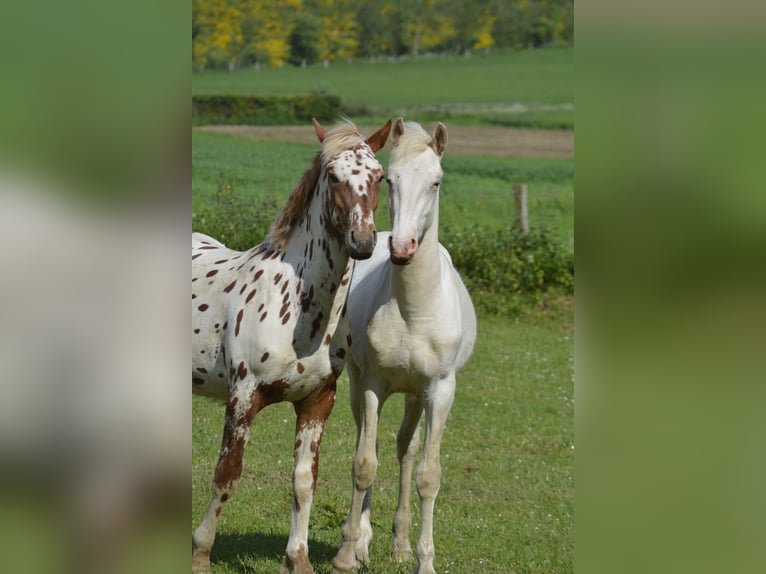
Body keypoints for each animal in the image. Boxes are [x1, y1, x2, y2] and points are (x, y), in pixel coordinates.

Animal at [191, 119, 392, 572]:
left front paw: (297, 559)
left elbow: (304, 481)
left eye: (380, 177)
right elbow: (226, 474)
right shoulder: (243, 398)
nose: (363, 241)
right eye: (332, 176)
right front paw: (200, 553)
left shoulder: (317, 401)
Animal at [332, 119, 476, 572]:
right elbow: (364, 464)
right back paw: (363, 541)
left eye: (436, 181)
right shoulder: (373, 384)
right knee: (372, 442)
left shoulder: (441, 390)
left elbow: (428, 475)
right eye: (389, 180)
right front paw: (347, 553)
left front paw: (423, 559)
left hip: (416, 395)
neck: (414, 310)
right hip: (358, 383)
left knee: (405, 450)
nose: (401, 247)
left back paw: (400, 544)